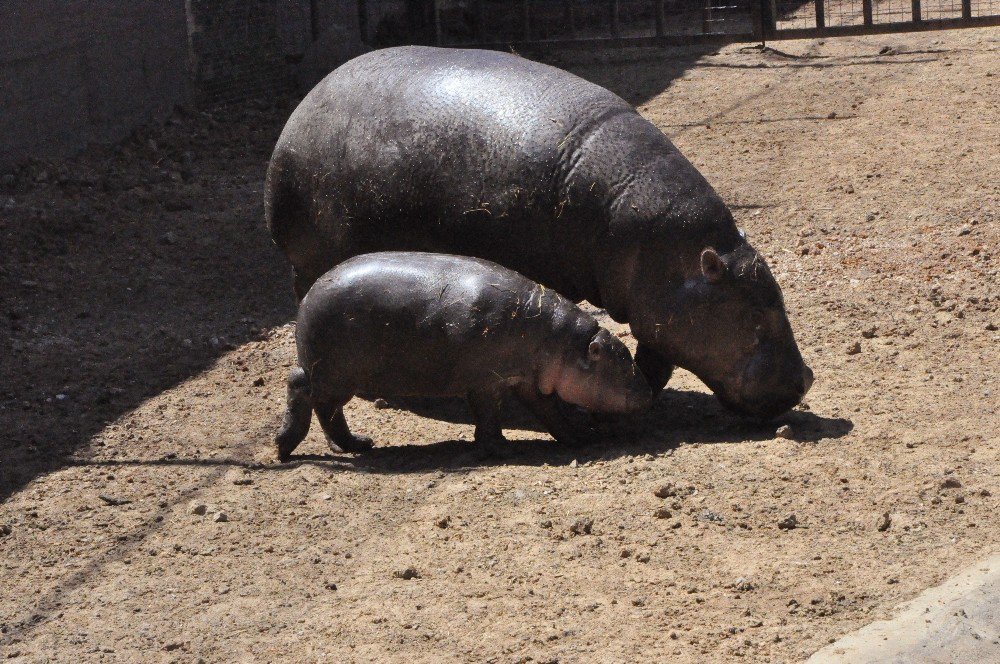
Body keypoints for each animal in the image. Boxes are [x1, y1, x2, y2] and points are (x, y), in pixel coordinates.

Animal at [266, 45, 812, 420]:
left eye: (777, 297)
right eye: (754, 317)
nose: (806, 379)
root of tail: (297, 113)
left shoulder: (656, 307)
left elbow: (655, 358)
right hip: (310, 262)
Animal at [276, 250, 648, 462]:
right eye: (622, 364)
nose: (646, 394)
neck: (564, 342)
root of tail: (308, 295)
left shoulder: (529, 381)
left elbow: (552, 413)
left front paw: (580, 437)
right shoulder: (486, 382)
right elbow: (489, 416)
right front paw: (503, 450)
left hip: (334, 377)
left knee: (323, 406)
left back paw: (355, 445)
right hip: (335, 375)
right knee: (303, 389)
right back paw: (284, 447)